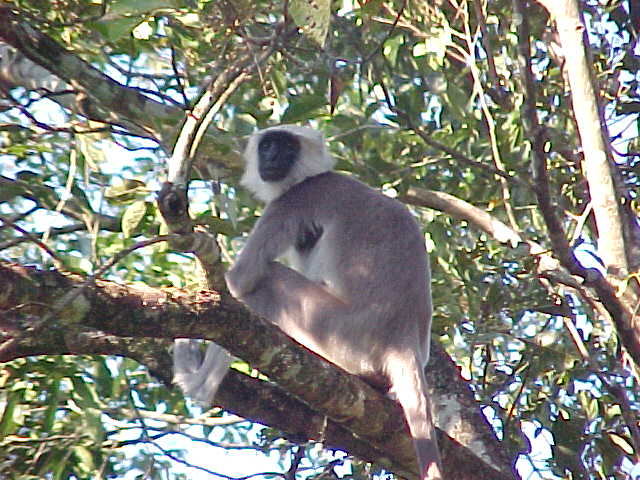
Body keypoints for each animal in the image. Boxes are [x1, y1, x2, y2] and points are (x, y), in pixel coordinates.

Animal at [176, 124, 444, 480]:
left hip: (337, 333)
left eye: (286, 148)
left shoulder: (297, 200)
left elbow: (241, 282)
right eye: (268, 146)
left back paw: (197, 384)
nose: (272, 157)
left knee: (267, 284)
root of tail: (402, 339)